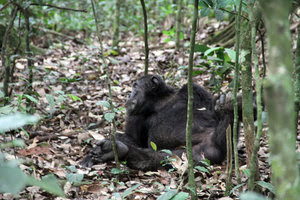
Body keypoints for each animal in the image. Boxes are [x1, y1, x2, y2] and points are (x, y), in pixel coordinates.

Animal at [80, 74, 239, 171]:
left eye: (135, 86)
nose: (129, 95)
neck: (159, 102)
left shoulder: (194, 89)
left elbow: (212, 113)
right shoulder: (136, 114)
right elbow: (132, 139)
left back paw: (228, 110)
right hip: (196, 153)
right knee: (163, 157)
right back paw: (114, 150)